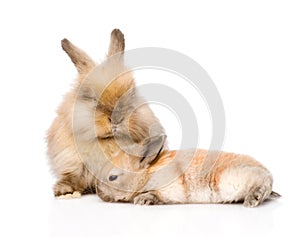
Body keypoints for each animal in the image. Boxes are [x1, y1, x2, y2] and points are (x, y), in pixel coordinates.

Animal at [46, 28, 166, 197]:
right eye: (93, 98)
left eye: (132, 94)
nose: (116, 120)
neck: (107, 140)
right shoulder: (71, 161)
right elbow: (72, 176)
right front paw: (64, 190)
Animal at [95, 135, 278, 207]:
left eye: (112, 177)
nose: (98, 191)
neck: (147, 175)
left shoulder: (170, 188)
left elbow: (156, 194)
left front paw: (143, 200)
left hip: (235, 179)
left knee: (263, 181)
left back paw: (252, 199)